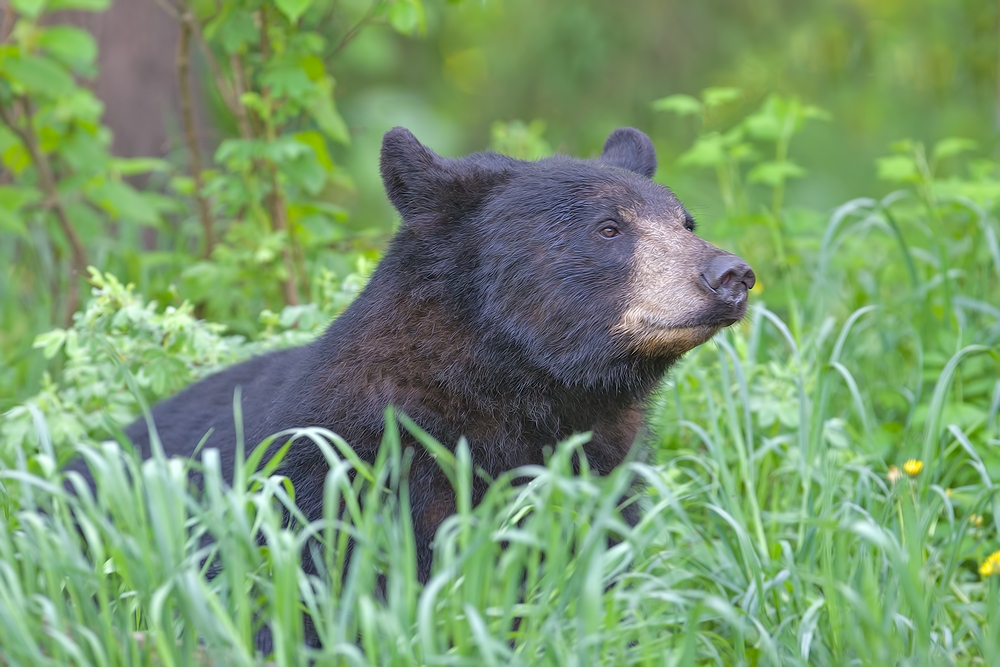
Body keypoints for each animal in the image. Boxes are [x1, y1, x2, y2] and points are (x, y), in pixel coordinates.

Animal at [86, 124, 752, 636]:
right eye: (609, 228)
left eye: (686, 221)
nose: (731, 274)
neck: (512, 395)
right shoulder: (337, 481)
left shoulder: (599, 483)